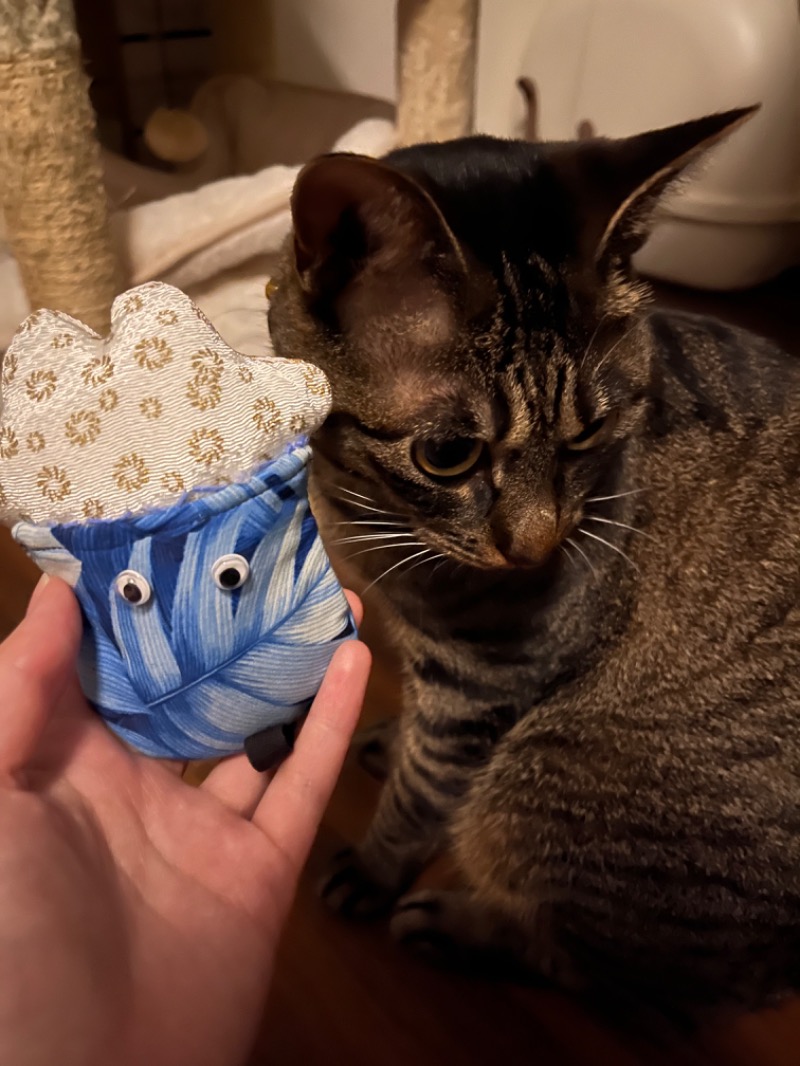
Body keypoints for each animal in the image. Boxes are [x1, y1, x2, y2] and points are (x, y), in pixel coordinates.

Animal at [267, 110, 800, 1014]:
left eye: (591, 435)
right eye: (449, 455)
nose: (541, 545)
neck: (371, 511)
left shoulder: (482, 686)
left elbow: (420, 795)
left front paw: (373, 869)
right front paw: (387, 736)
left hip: (548, 786)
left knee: (604, 965)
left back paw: (456, 925)